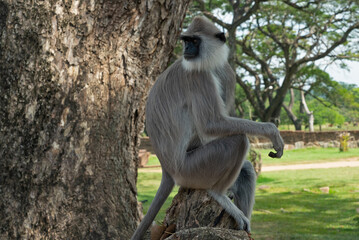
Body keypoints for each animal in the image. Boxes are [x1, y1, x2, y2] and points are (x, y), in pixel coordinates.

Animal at [131, 16, 286, 240]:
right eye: (186, 40)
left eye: (194, 41)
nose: (187, 49)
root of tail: (167, 169)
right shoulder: (199, 75)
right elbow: (211, 125)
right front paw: (271, 131)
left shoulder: (223, 71)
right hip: (192, 169)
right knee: (238, 140)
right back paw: (218, 194)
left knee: (247, 168)